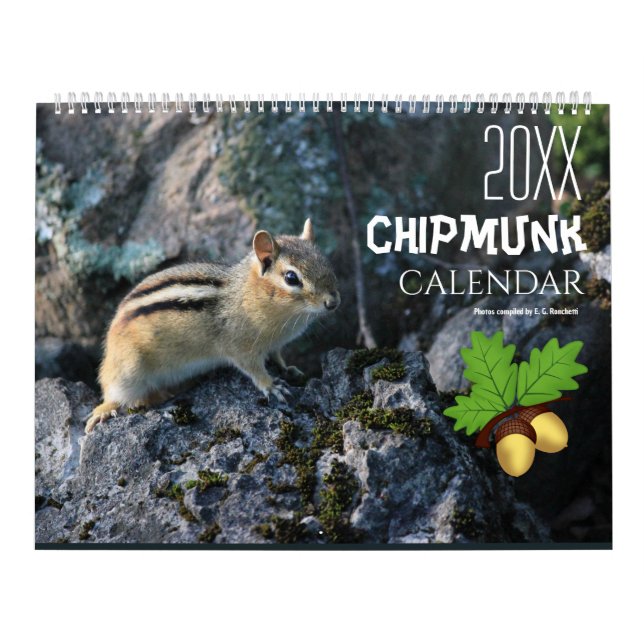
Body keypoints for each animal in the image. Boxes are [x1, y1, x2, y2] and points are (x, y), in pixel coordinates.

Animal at [85, 219, 340, 433]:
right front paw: (272, 385)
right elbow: (254, 370)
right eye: (291, 278)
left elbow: (277, 357)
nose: (333, 302)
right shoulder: (241, 348)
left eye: (326, 262)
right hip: (128, 370)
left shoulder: (275, 345)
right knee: (114, 394)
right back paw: (105, 411)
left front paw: (288, 369)